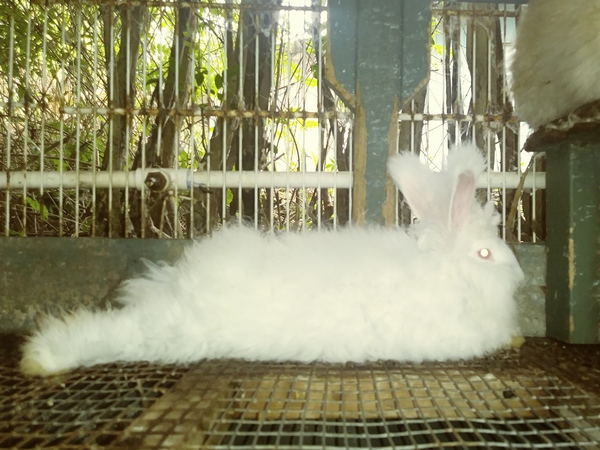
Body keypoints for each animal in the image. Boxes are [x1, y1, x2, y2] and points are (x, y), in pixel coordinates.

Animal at [21, 144, 524, 376]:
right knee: (110, 332)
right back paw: (41, 359)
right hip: (168, 333)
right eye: (485, 253)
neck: (452, 277)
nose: (520, 274)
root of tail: (180, 284)